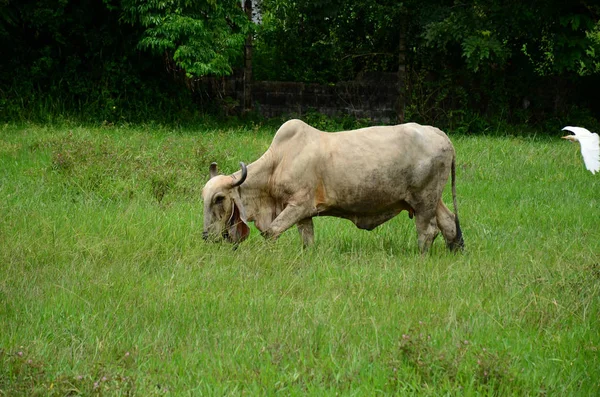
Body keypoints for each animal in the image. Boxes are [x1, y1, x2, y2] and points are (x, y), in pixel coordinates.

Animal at [202, 118, 464, 254]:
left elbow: (271, 232)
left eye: (219, 198)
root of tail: (440, 134)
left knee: (428, 230)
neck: (278, 162)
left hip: (424, 200)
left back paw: (422, 255)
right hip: (431, 199)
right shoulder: (304, 213)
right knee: (449, 223)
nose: (206, 236)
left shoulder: (298, 205)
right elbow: (307, 239)